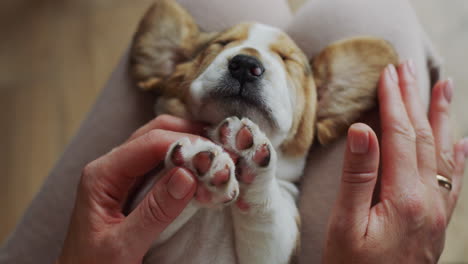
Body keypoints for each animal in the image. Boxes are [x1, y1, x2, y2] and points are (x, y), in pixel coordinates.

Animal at [129, 1, 398, 262]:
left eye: (287, 59)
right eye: (221, 43)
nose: (246, 65)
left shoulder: (280, 241)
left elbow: (268, 212)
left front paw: (248, 153)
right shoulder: (140, 223)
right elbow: (153, 192)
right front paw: (198, 165)